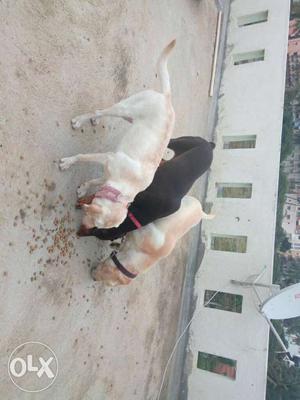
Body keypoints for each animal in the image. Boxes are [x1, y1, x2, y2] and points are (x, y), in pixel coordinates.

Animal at [59, 40, 176, 230]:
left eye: (97, 227)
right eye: (95, 223)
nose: (83, 230)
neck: (125, 187)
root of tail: (166, 97)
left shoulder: (106, 175)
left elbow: (95, 181)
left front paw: (84, 187)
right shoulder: (107, 157)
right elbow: (82, 156)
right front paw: (69, 162)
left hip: (127, 116)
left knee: (101, 112)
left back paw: (95, 120)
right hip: (124, 109)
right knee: (100, 110)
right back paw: (81, 120)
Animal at [78, 136, 214, 239]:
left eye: (97, 232)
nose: (78, 233)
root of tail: (210, 145)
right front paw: (82, 200)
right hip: (181, 142)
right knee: (170, 143)